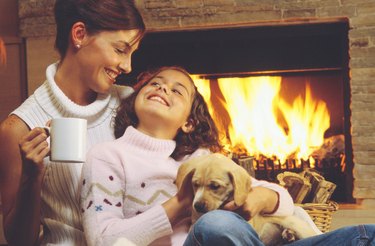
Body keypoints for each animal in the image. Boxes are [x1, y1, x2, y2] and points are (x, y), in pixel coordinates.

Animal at [176, 154, 320, 246]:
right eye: (195, 184)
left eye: (215, 186)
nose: (197, 206)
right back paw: (288, 235)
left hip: (297, 225)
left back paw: (289, 234)